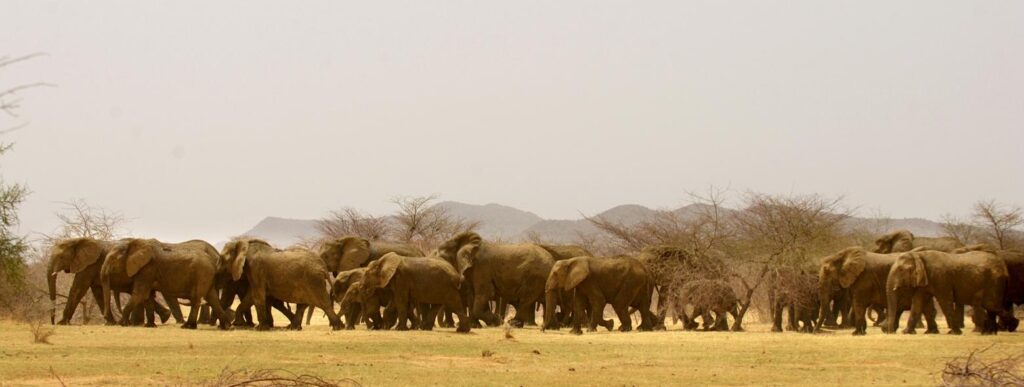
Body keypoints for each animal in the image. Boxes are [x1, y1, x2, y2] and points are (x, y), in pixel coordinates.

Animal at [100, 238, 228, 329]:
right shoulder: (147, 272)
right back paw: (225, 326)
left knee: (197, 299)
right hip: (206, 276)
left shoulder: (148, 269)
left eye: (112, 261)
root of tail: (214, 260)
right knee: (212, 298)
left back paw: (188, 327)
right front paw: (149, 326)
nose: (107, 321)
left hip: (202, 274)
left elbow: (139, 294)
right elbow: (147, 296)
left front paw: (122, 323)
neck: (132, 244)